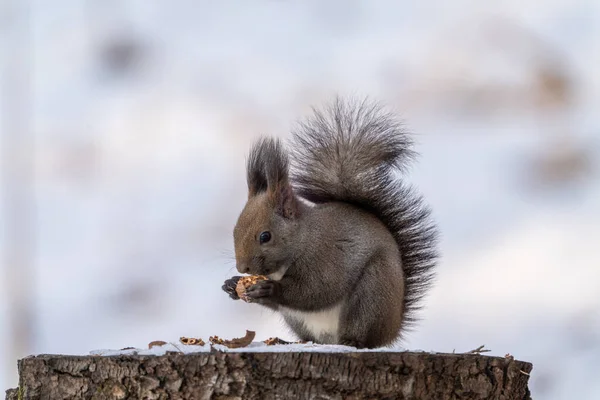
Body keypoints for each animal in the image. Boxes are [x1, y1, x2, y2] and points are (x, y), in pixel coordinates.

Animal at [220, 98, 436, 348]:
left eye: (266, 236)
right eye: (234, 232)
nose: (242, 268)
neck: (303, 238)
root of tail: (392, 329)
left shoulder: (326, 257)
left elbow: (316, 290)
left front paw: (270, 289)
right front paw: (231, 284)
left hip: (371, 294)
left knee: (361, 334)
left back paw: (352, 341)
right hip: (298, 320)